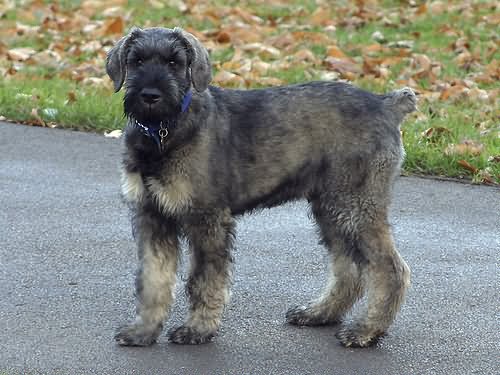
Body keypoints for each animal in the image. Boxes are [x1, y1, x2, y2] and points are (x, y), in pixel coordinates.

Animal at [105, 27, 414, 350]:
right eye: (137, 61)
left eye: (174, 62)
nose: (150, 96)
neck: (163, 133)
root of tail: (386, 104)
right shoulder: (152, 218)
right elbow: (153, 279)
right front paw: (143, 331)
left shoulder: (207, 221)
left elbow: (204, 280)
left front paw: (197, 329)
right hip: (332, 209)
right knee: (348, 270)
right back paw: (319, 313)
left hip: (356, 207)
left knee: (390, 269)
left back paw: (366, 330)